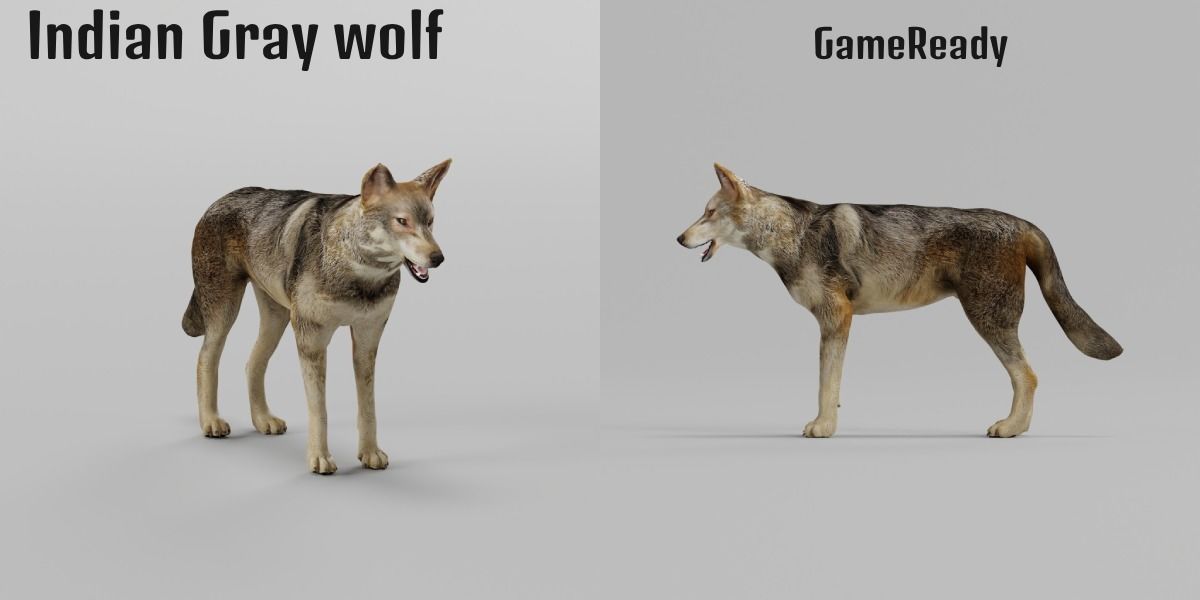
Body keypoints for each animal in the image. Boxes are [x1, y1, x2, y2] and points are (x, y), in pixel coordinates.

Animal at [182, 160, 451, 473]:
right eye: (402, 221)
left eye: (429, 222)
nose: (438, 258)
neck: (358, 271)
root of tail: (218, 200)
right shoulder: (312, 340)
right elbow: (319, 409)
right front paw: (319, 458)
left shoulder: (367, 339)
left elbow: (368, 407)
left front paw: (370, 453)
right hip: (225, 312)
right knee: (206, 359)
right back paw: (211, 421)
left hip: (277, 318)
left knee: (252, 363)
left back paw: (263, 420)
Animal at [677, 164, 1121, 438]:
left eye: (709, 212)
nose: (678, 238)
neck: (792, 234)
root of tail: (1022, 223)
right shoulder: (835, 324)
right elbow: (832, 384)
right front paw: (831, 419)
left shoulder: (837, 318)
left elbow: (825, 383)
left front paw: (822, 427)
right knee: (1027, 376)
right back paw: (1019, 427)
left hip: (988, 321)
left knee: (1027, 376)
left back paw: (1011, 428)